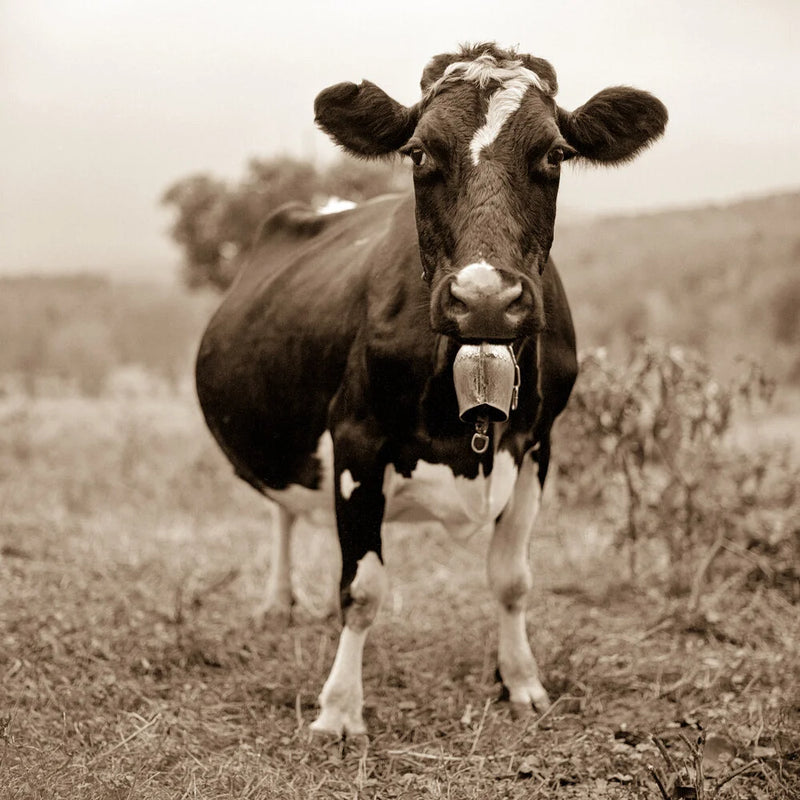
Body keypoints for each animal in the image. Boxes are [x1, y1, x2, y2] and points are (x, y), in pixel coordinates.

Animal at [195, 42, 667, 737]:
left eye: (555, 154)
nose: (485, 298)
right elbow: (362, 589)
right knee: (282, 506)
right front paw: (339, 709)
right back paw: (278, 602)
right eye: (418, 153)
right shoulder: (356, 439)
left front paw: (521, 681)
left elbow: (513, 578)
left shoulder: (538, 443)